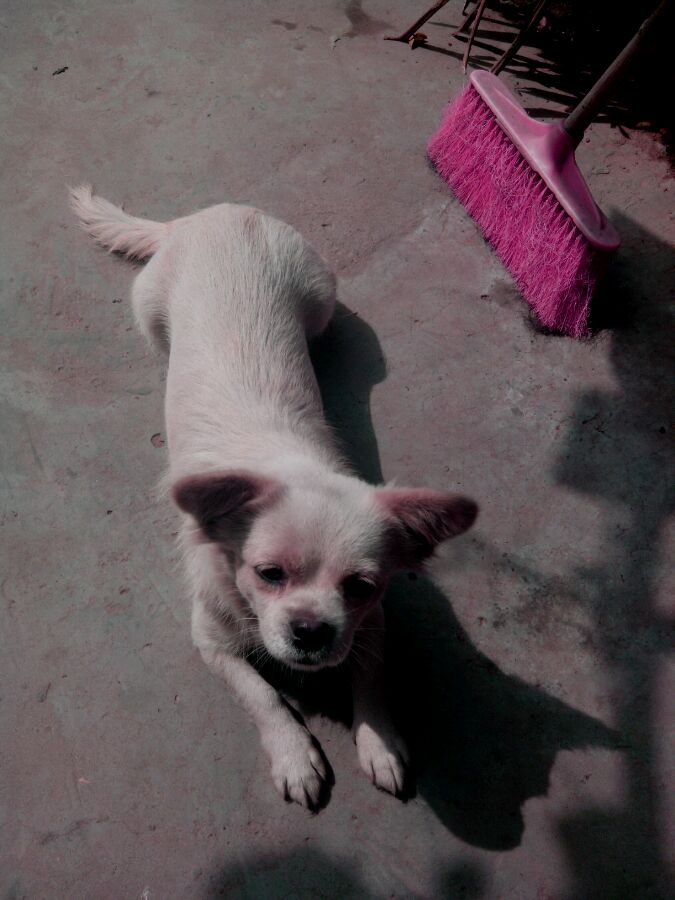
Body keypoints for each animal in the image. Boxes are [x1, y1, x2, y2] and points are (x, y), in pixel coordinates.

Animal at [70, 187, 478, 808]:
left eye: (360, 587)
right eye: (269, 574)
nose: (311, 631)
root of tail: (209, 215)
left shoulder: (371, 625)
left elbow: (372, 679)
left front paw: (380, 742)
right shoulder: (210, 641)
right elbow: (260, 694)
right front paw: (294, 755)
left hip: (322, 296)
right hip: (149, 312)